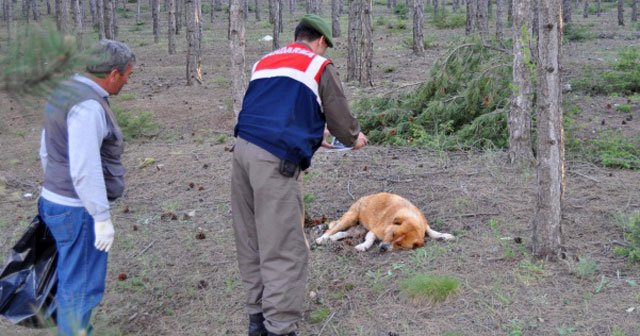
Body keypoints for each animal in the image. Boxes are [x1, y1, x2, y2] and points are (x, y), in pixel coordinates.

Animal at [316, 193, 456, 251]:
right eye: (393, 234)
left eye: (400, 245)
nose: (383, 248)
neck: (411, 217)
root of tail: (364, 197)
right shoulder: (375, 231)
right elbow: (370, 239)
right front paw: (363, 246)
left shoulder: (424, 225)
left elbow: (432, 232)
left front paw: (444, 236)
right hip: (349, 218)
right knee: (331, 229)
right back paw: (321, 239)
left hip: (358, 230)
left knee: (342, 233)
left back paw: (331, 239)